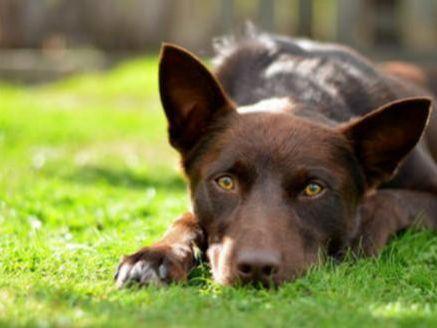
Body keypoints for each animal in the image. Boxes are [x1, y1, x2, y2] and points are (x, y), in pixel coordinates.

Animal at [114, 30, 434, 288]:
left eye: (313, 189)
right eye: (225, 182)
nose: (256, 268)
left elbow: (388, 200)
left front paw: (362, 230)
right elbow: (186, 218)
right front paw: (156, 255)